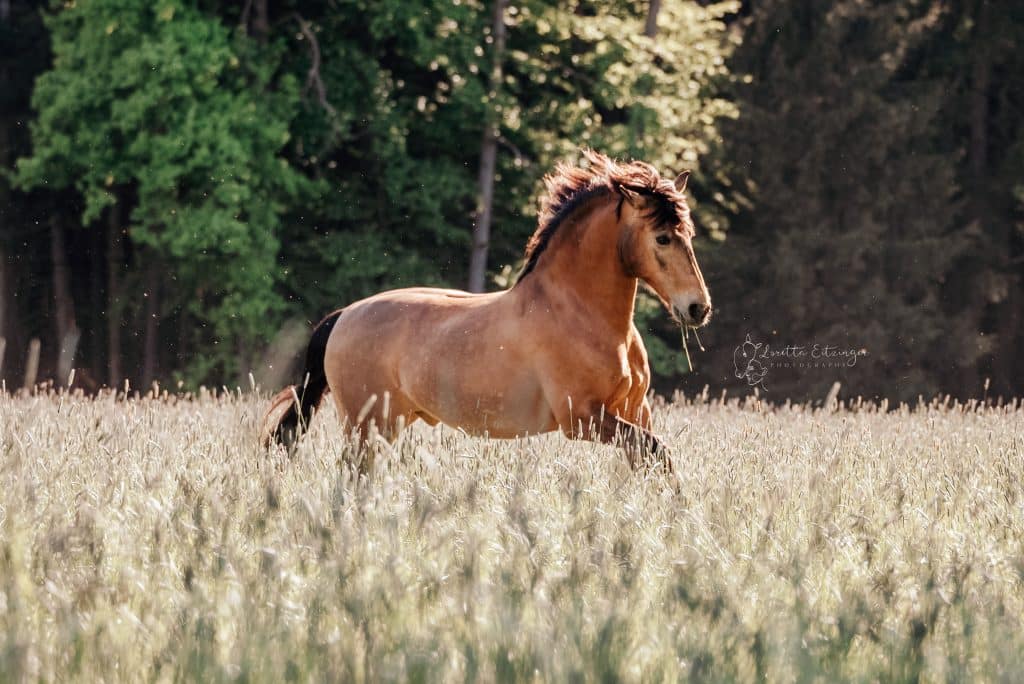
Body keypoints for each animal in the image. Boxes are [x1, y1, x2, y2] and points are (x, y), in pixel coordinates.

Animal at [260, 150, 712, 470]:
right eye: (662, 238)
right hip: (367, 425)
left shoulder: (636, 410)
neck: (585, 316)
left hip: (389, 424)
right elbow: (658, 453)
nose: (698, 308)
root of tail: (342, 317)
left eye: (688, 234)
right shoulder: (583, 417)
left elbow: (654, 461)